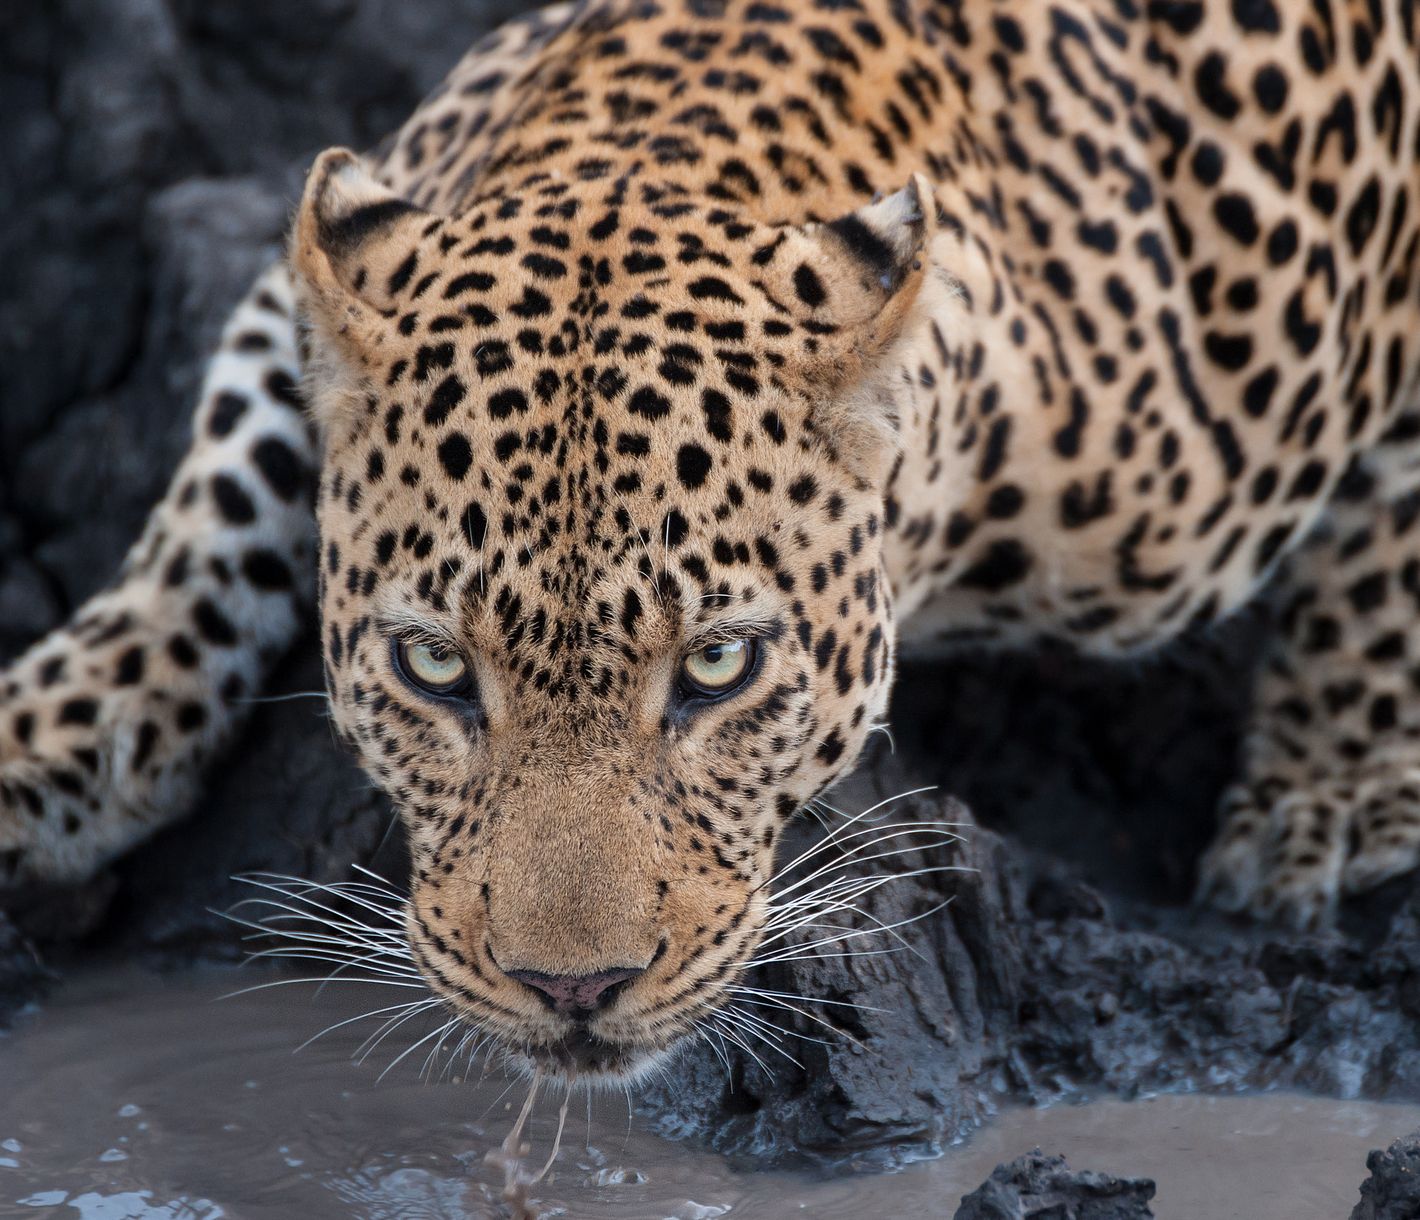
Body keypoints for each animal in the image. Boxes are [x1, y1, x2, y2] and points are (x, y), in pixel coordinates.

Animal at [5, 0, 1420, 1083]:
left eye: (720, 668)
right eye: (433, 668)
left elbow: (1391, 526)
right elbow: (215, 496)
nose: (574, 990)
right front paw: (53, 736)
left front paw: (1328, 797)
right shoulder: (294, 292)